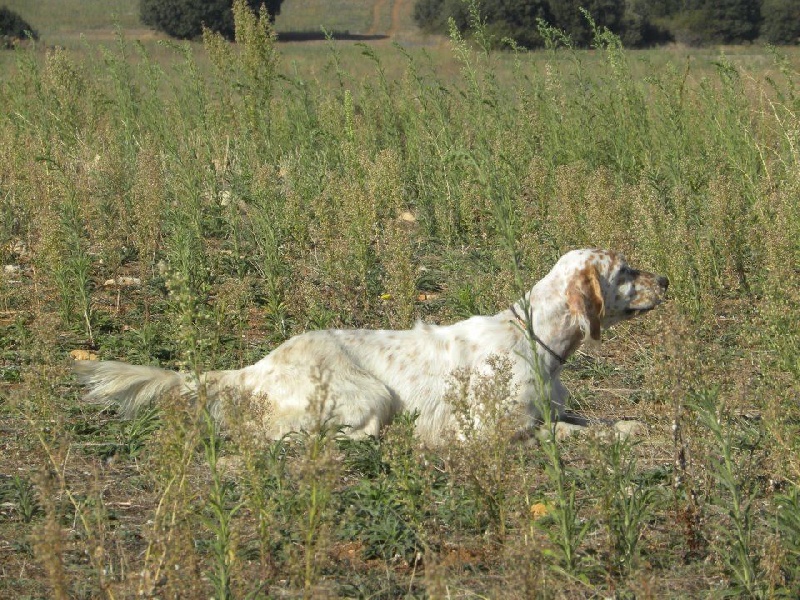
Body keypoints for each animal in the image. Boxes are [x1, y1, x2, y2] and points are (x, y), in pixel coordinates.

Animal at [75, 250, 664, 446]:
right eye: (626, 271)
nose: (667, 280)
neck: (535, 340)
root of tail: (253, 368)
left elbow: (589, 421)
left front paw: (629, 425)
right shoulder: (473, 430)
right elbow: (553, 433)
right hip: (370, 397)